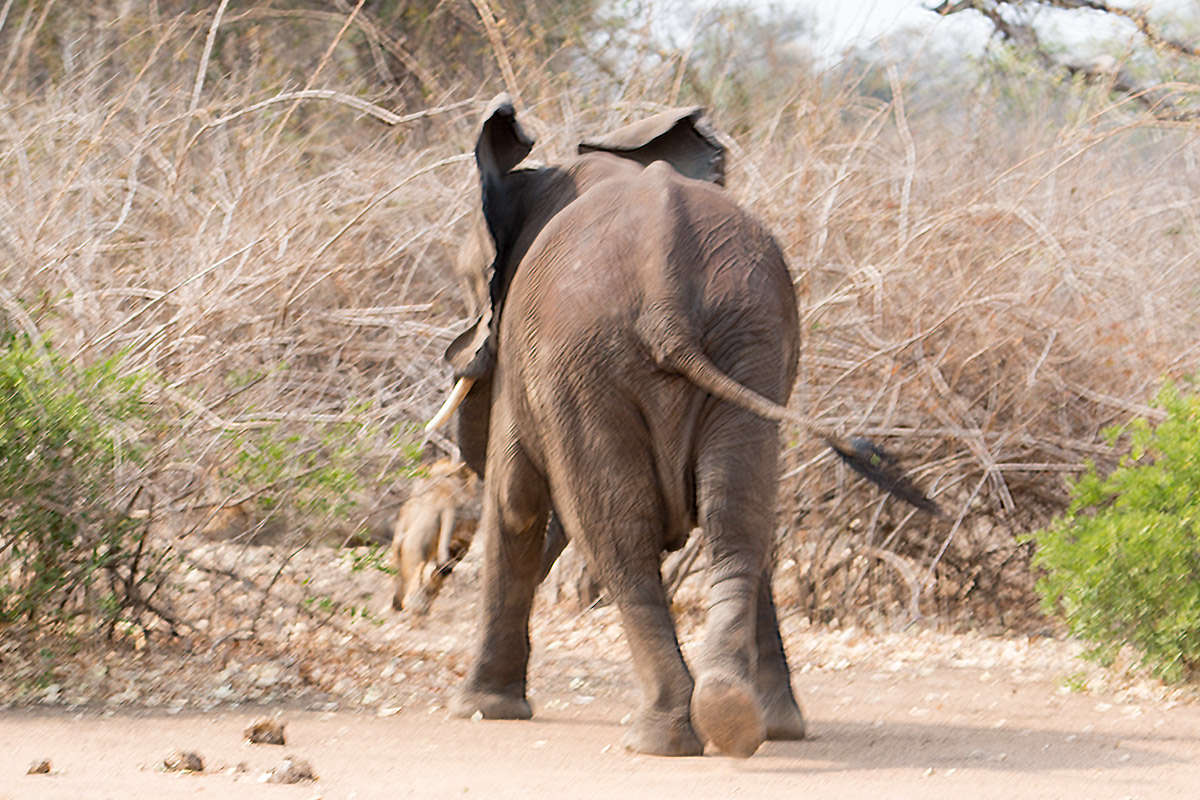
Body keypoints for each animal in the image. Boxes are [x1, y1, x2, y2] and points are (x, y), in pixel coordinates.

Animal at [427, 94, 940, 758]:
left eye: (469, 281)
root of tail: (663, 286)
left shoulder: (524, 352)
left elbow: (514, 503)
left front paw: (480, 711)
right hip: (747, 337)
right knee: (737, 517)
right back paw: (738, 719)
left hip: (584, 354)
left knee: (621, 535)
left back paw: (663, 737)